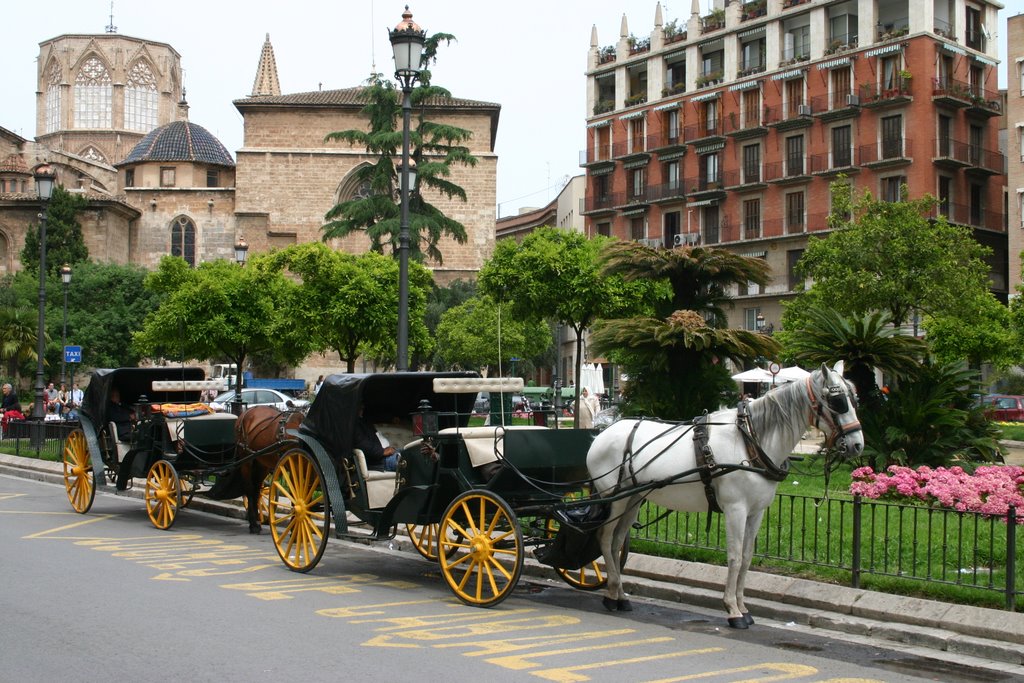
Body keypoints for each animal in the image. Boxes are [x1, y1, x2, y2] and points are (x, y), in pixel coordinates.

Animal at [585, 362, 864, 630]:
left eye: (855, 399)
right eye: (838, 400)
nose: (858, 445)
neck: (750, 442)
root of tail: (603, 433)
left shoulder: (756, 512)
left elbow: (747, 557)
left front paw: (744, 607)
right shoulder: (735, 509)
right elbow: (734, 556)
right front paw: (733, 610)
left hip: (633, 498)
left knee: (616, 541)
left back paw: (619, 594)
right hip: (615, 498)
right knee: (605, 537)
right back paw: (612, 591)